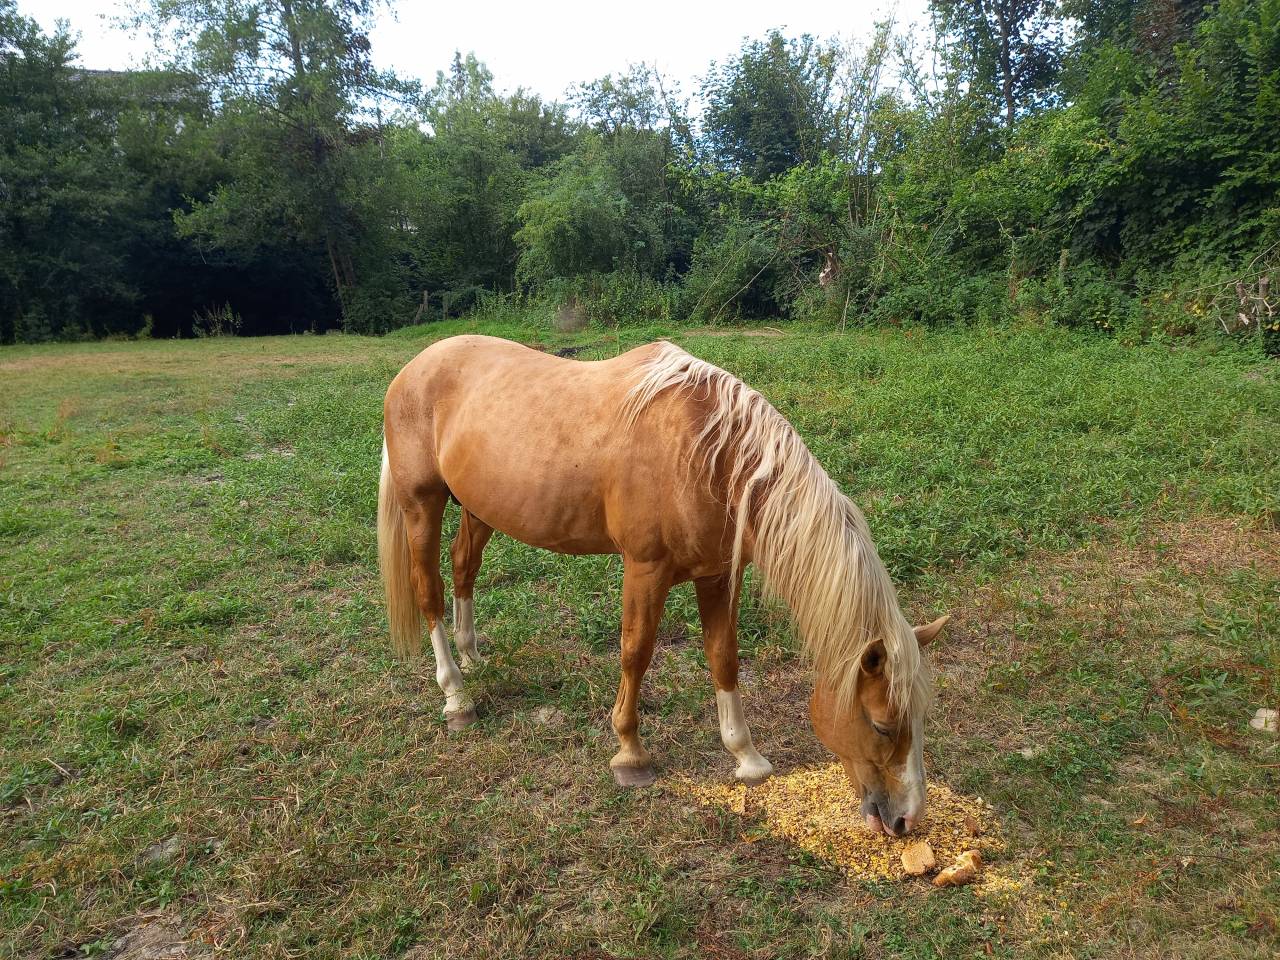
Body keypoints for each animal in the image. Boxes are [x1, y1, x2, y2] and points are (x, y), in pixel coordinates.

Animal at [378, 335, 949, 836]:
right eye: (882, 724)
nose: (907, 820)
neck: (710, 455)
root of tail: (413, 369)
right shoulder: (644, 569)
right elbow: (636, 652)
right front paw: (630, 754)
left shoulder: (717, 575)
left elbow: (724, 658)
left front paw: (747, 757)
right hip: (421, 505)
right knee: (428, 591)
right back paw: (456, 696)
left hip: (479, 509)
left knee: (463, 569)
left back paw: (472, 656)